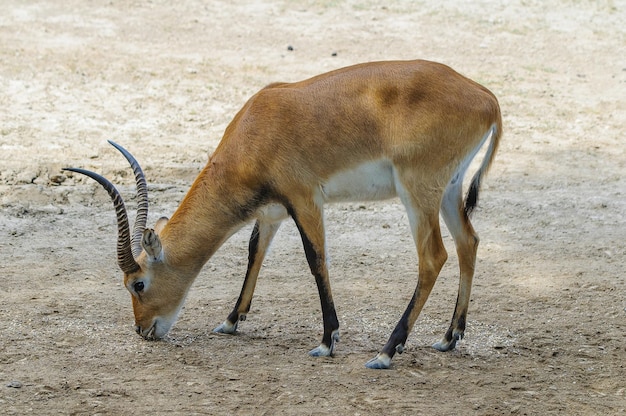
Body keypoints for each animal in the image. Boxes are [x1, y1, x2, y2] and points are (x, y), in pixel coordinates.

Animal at [64, 58, 502, 368]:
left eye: (137, 284)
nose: (143, 331)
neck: (256, 128)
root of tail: (487, 98)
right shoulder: (272, 212)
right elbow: (254, 253)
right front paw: (230, 321)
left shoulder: (305, 200)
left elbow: (316, 260)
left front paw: (327, 341)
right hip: (448, 190)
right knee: (469, 242)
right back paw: (449, 337)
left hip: (417, 192)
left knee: (433, 257)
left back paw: (386, 352)